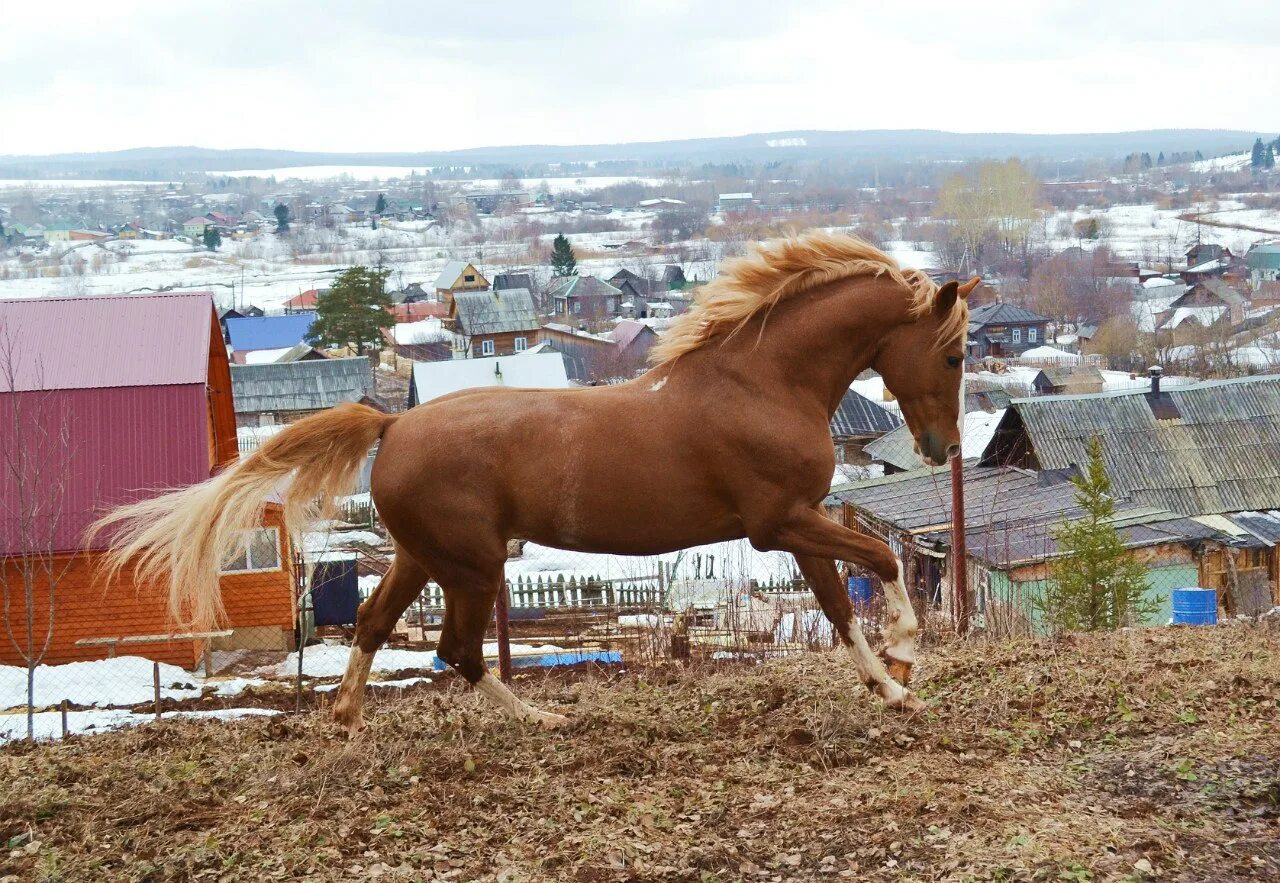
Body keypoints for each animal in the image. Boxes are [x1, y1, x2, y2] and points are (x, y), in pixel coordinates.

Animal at [94, 231, 972, 726]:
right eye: (956, 352)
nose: (941, 445)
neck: (761, 382)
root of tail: (394, 424)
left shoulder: (799, 519)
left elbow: (838, 604)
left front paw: (894, 688)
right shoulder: (778, 521)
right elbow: (882, 562)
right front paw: (906, 655)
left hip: (421, 557)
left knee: (377, 624)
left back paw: (345, 717)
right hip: (472, 565)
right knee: (455, 648)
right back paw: (542, 718)